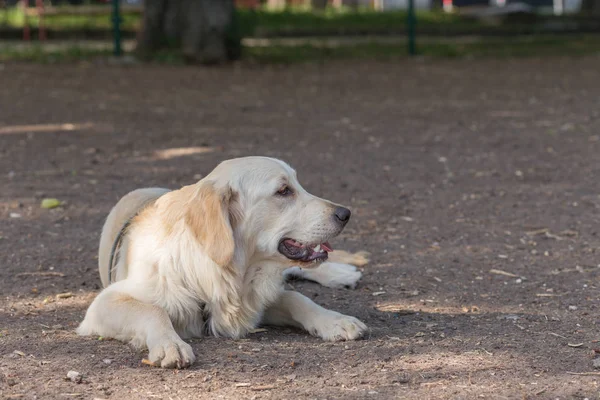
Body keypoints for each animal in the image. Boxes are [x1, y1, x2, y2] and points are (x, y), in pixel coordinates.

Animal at [78, 156, 370, 368]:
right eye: (283, 191)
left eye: (298, 185)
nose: (345, 213)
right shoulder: (104, 303)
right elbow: (152, 310)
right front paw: (170, 345)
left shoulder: (256, 298)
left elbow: (297, 298)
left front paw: (336, 321)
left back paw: (341, 273)